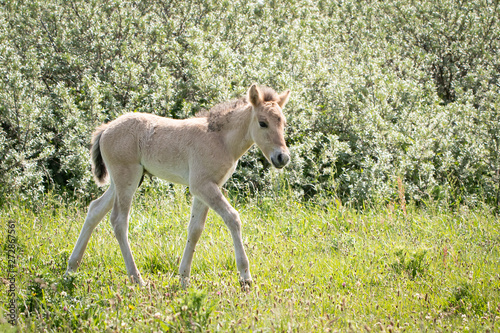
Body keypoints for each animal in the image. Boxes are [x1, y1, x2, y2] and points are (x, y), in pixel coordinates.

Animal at [64, 84, 292, 286]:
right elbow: (233, 218)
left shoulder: (205, 189)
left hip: (120, 181)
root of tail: (105, 129)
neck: (221, 139)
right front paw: (245, 277)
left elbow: (195, 229)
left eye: (283, 123)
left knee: (95, 209)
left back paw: (71, 269)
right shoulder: (202, 185)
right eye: (262, 123)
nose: (282, 157)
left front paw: (183, 278)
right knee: (119, 221)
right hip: (126, 178)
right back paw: (137, 279)